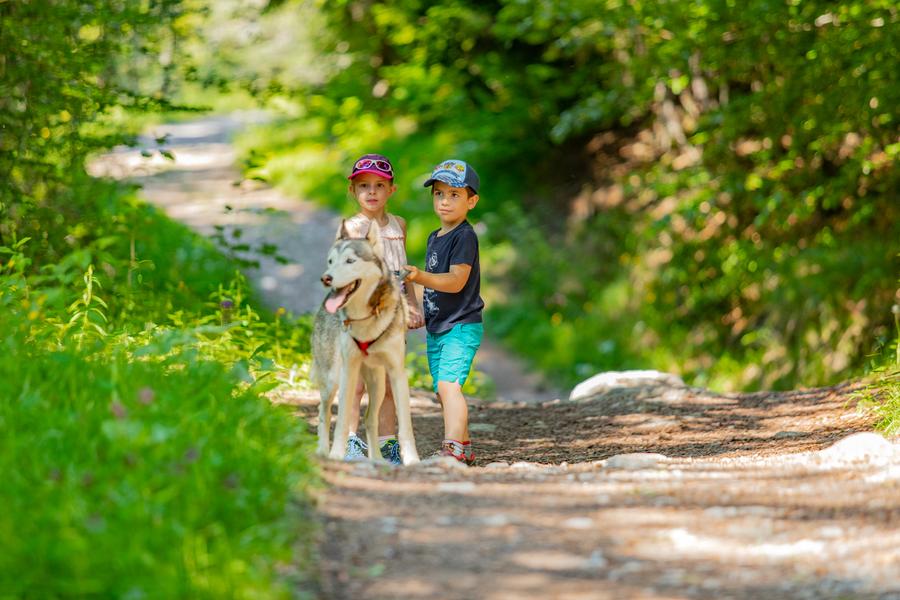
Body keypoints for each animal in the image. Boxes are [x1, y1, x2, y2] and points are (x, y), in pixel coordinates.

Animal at [312, 219, 420, 464]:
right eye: (330, 261)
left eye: (350, 261)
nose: (326, 278)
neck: (366, 318)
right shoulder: (348, 371)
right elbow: (342, 421)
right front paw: (336, 455)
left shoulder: (397, 373)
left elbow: (405, 427)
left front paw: (412, 460)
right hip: (334, 379)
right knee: (324, 412)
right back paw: (322, 451)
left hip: (378, 384)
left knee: (370, 418)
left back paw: (377, 460)